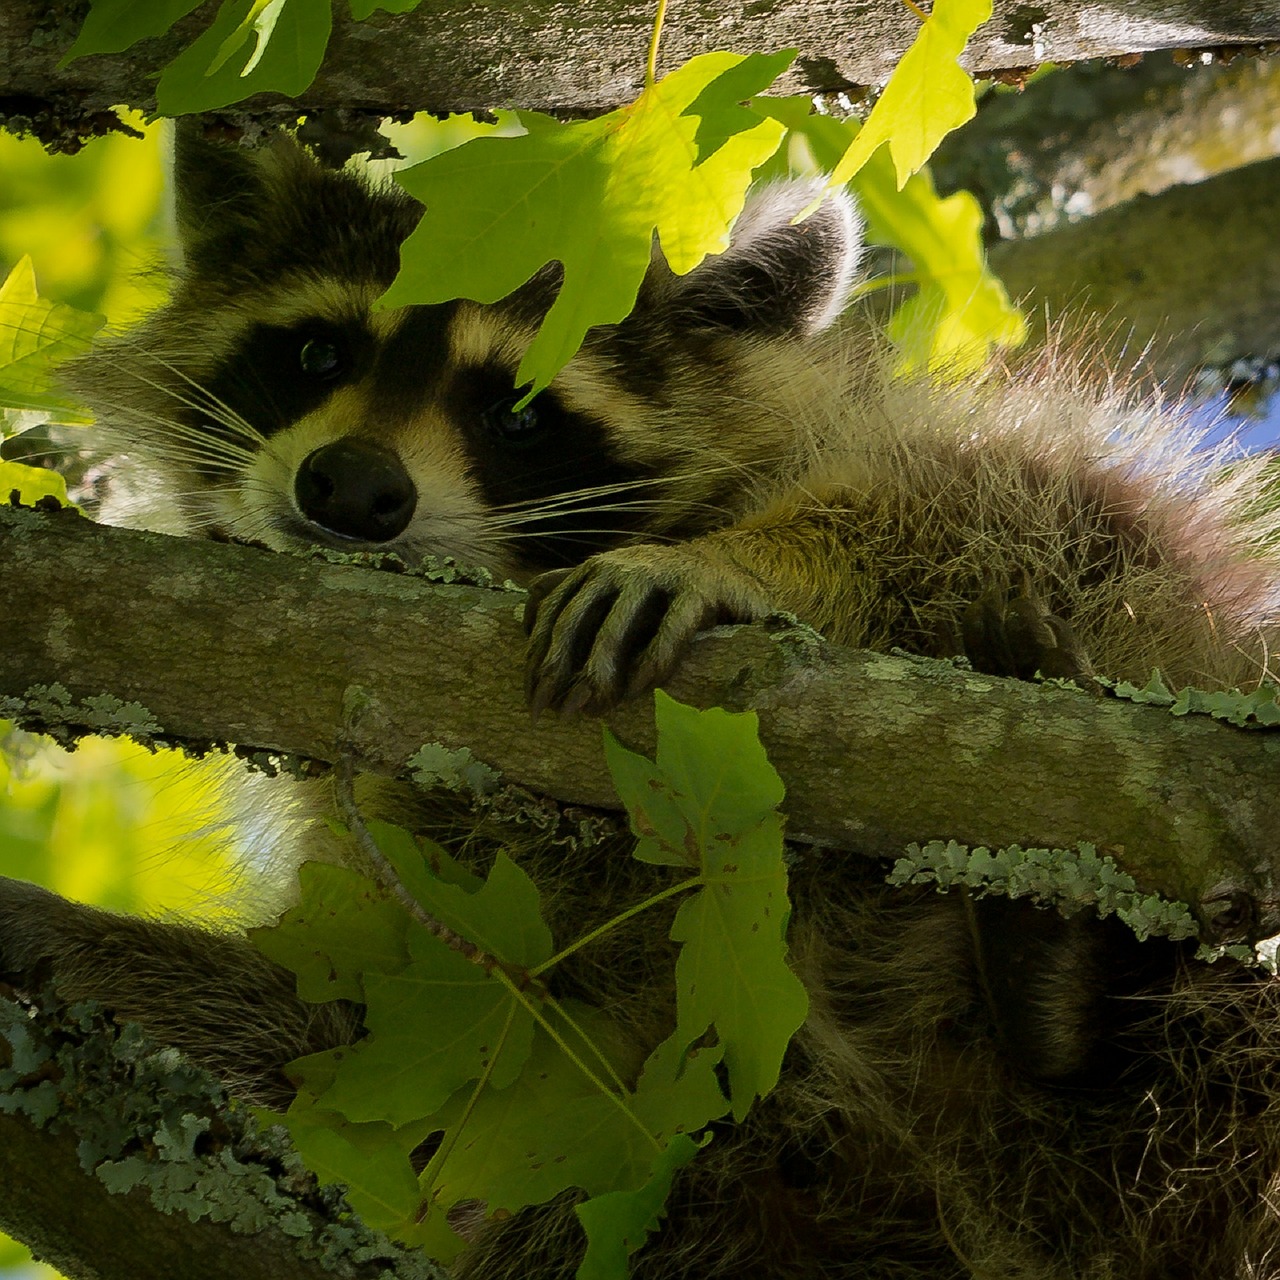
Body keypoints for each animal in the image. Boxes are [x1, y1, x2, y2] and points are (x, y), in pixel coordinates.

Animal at [2, 122, 1280, 1280]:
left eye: (518, 411)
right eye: (316, 353)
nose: (353, 486)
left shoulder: (932, 452)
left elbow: (978, 491)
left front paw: (739, 562)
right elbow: (363, 1048)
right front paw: (72, 942)